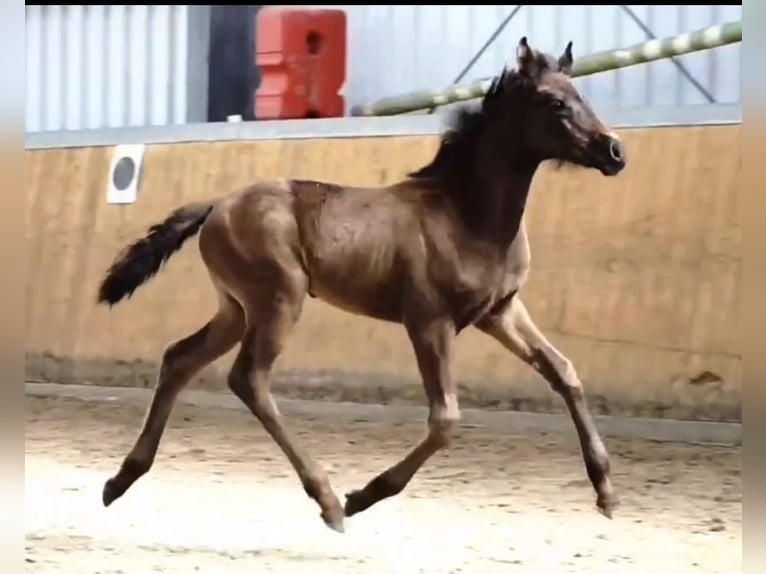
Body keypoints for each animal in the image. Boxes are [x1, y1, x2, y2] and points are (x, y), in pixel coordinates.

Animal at [99, 38, 632, 536]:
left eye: (581, 94)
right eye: (555, 102)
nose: (615, 152)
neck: (467, 215)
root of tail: (216, 206)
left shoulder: (500, 312)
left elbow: (564, 372)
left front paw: (606, 492)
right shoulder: (429, 321)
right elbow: (445, 419)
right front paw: (365, 495)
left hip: (235, 307)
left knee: (180, 358)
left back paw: (121, 480)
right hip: (278, 300)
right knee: (248, 379)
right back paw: (329, 501)